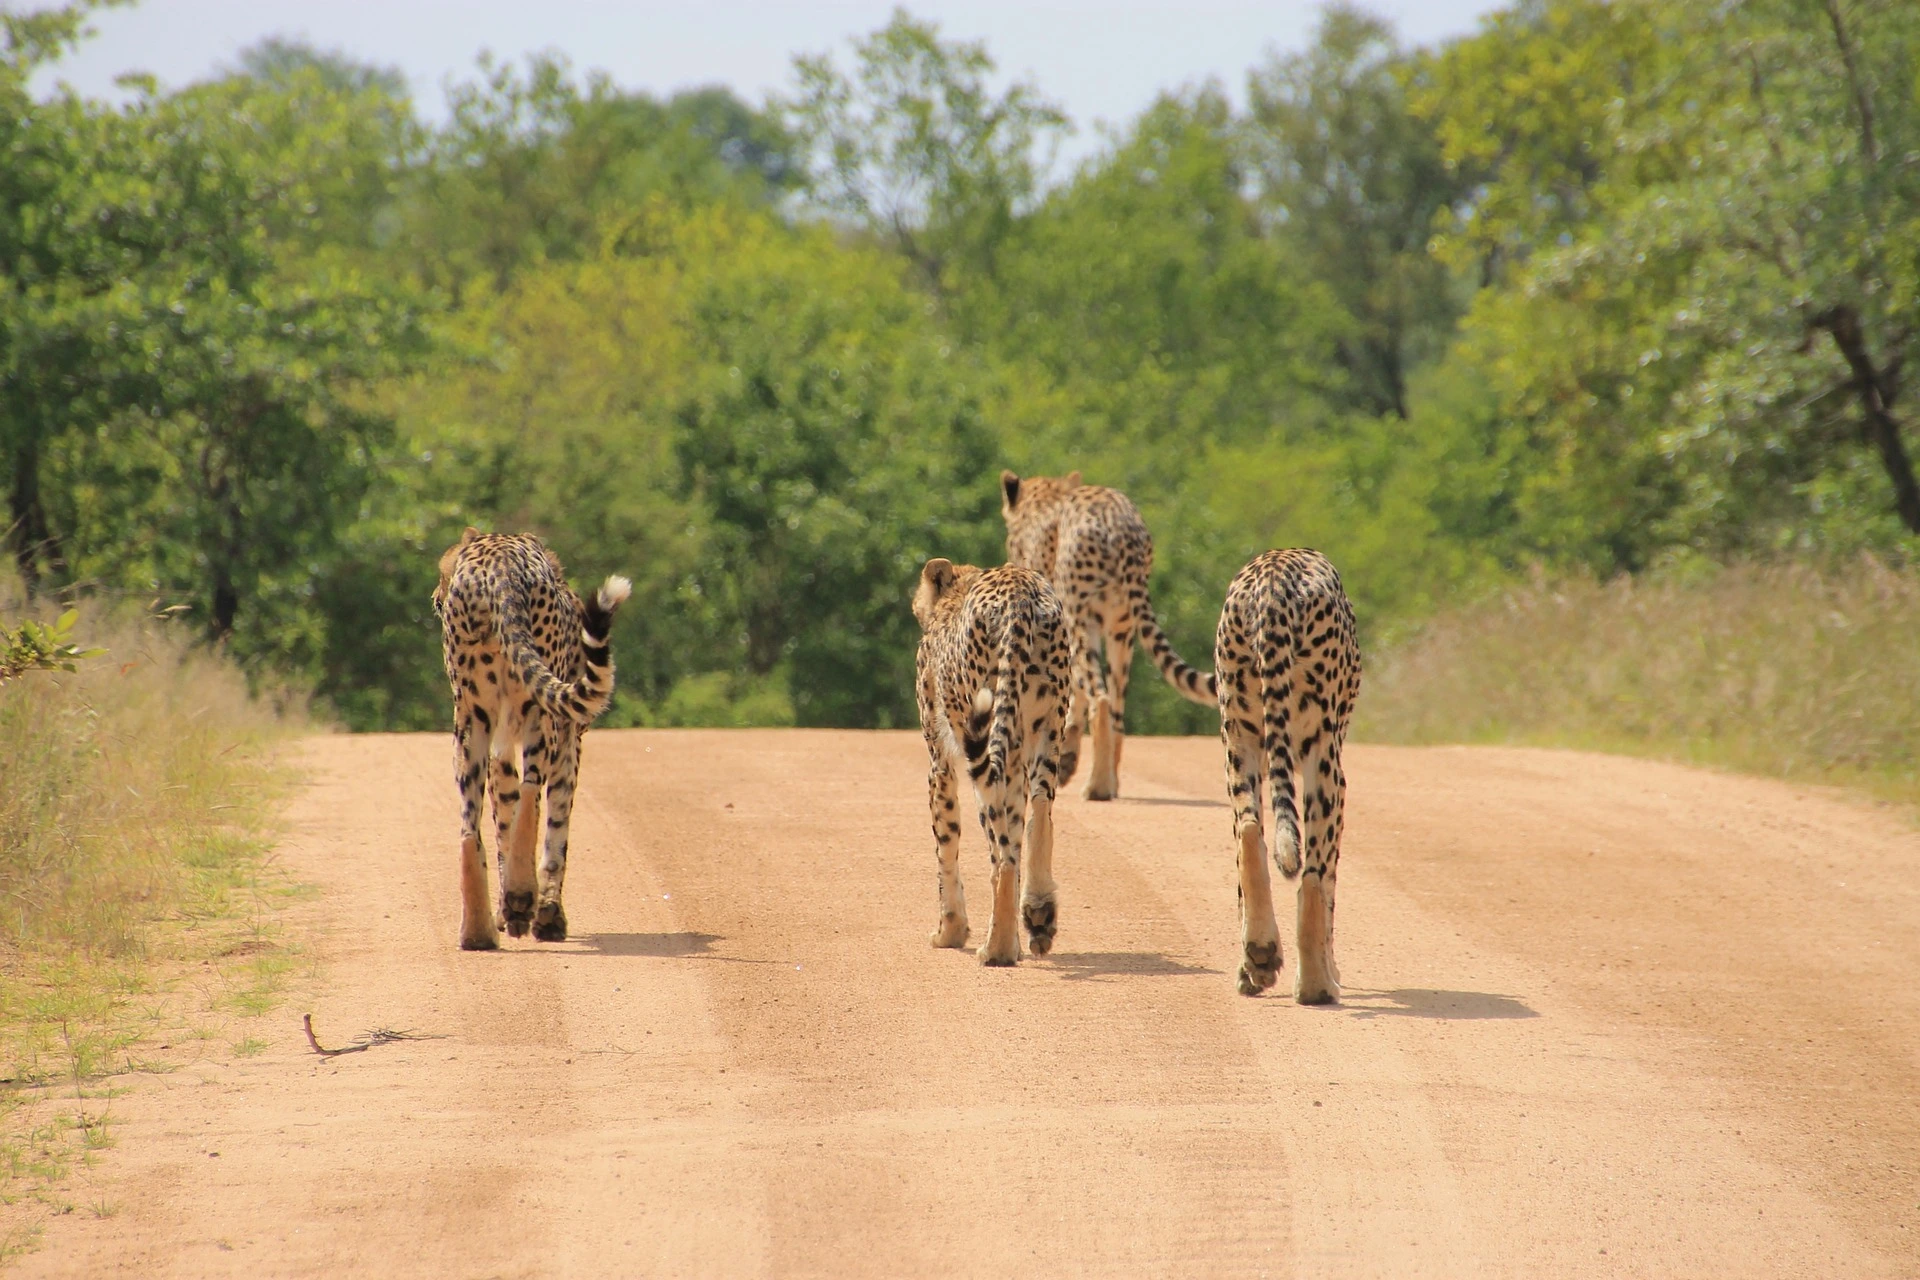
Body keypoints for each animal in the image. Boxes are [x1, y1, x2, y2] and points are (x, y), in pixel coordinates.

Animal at [435, 529, 629, 951]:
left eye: (442, 571)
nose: (436, 597)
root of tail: (499, 562)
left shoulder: (502, 744)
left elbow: (505, 819)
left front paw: (514, 913)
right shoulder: (569, 740)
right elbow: (556, 827)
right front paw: (546, 915)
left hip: (471, 722)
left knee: (470, 827)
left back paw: (478, 931)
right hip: (541, 716)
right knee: (530, 796)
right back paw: (522, 896)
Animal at [910, 556, 1075, 967]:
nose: (916, 605)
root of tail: (1019, 591)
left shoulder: (940, 761)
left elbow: (945, 844)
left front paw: (950, 931)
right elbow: (1020, 825)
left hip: (984, 741)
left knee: (1001, 852)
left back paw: (997, 948)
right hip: (1045, 726)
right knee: (1038, 814)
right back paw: (1039, 913)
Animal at [1006, 470, 1213, 802]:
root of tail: (1120, 527)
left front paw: (1066, 757)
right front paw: (1068, 756)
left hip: (1081, 619)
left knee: (1101, 699)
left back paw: (1098, 787)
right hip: (1122, 628)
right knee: (1116, 707)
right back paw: (1110, 780)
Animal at [1213, 548, 1367, 997]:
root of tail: (1273, 575)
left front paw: (1247, 971)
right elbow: (1329, 881)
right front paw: (1331, 968)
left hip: (1239, 741)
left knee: (1248, 833)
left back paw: (1260, 952)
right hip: (1323, 756)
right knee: (1314, 873)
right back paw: (1317, 984)